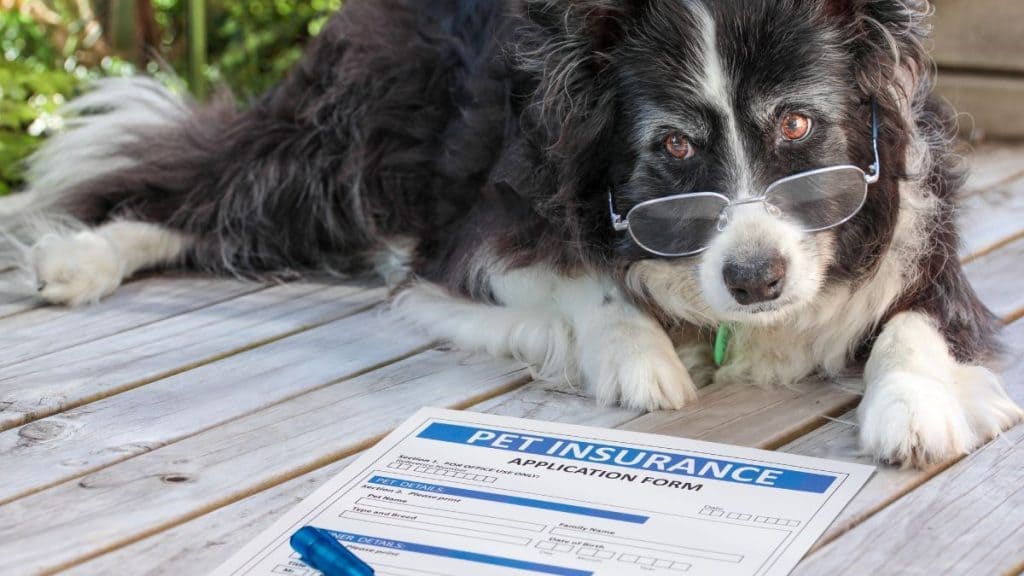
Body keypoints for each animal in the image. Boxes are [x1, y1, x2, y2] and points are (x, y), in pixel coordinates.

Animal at [2, 1, 1024, 467]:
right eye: (674, 146)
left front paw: (912, 408)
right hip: (349, 149)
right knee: (210, 187)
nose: (756, 280)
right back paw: (81, 257)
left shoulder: (925, 241)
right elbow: (584, 280)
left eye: (800, 127)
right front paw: (638, 357)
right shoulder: (481, 229)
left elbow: (916, 322)